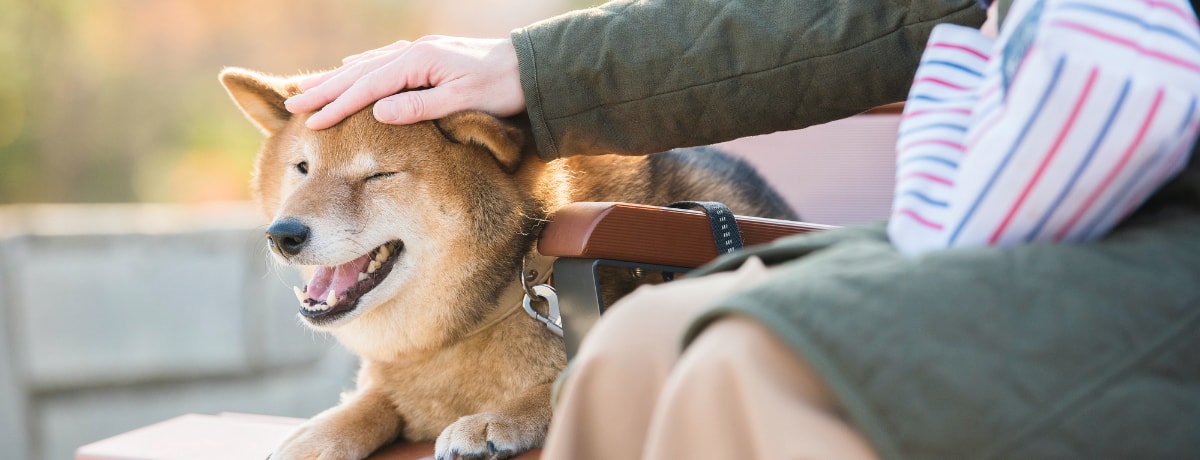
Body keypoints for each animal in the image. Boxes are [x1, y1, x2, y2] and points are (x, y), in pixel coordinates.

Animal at [220, 68, 801, 460]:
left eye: (379, 175)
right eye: (302, 168)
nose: (283, 235)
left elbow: (565, 381)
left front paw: (496, 418)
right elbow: (376, 398)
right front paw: (320, 432)